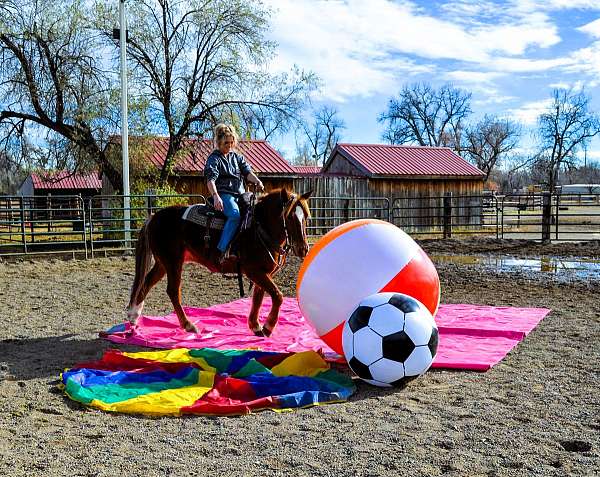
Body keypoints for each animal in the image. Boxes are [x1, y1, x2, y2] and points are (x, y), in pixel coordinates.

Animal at [127, 189, 314, 334]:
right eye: (289, 217)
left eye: (305, 216)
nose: (303, 249)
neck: (259, 227)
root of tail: (154, 216)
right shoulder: (254, 271)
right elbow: (277, 295)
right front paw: (268, 327)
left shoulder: (264, 273)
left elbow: (258, 298)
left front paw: (255, 325)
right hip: (173, 262)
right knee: (172, 291)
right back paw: (188, 325)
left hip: (162, 263)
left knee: (146, 283)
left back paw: (134, 318)